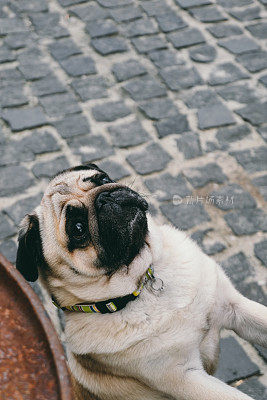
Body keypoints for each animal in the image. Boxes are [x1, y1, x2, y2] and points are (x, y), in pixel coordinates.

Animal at [16, 163, 267, 400]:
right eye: (78, 229)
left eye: (103, 179)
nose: (104, 198)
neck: (143, 281)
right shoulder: (184, 377)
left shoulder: (233, 307)